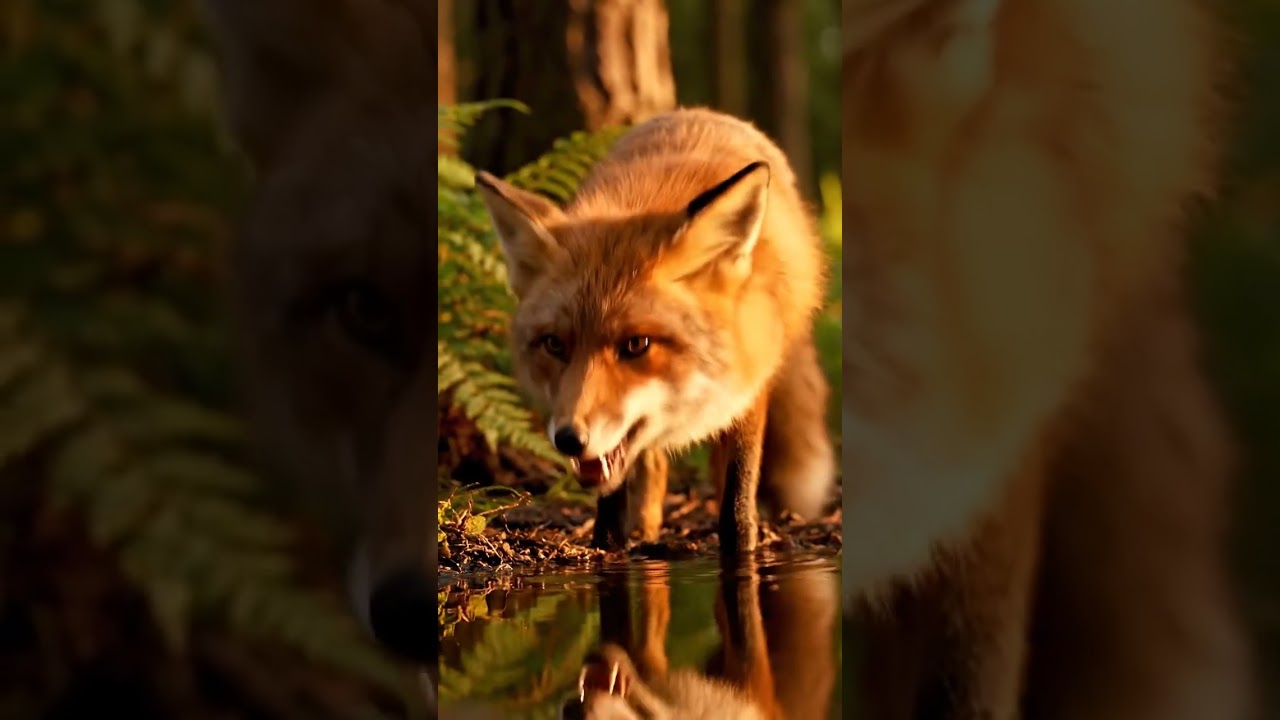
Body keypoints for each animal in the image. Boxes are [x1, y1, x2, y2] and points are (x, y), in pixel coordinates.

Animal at [475, 108, 836, 553]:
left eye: (637, 344)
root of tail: (699, 112)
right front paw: (609, 548)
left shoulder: (749, 379)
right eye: (554, 344)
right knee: (652, 466)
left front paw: (742, 547)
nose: (569, 439)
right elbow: (614, 493)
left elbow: (739, 484)